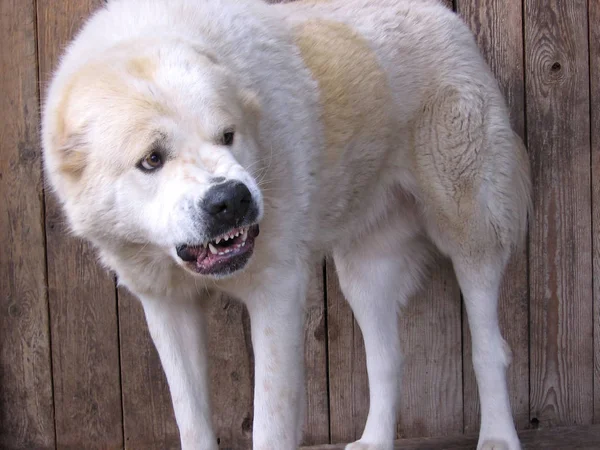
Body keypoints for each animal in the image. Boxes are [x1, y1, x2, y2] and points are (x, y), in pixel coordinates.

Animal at [41, 0, 528, 450]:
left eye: (227, 136)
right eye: (152, 159)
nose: (230, 200)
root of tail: (445, 14)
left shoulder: (276, 292)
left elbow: (270, 423)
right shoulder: (167, 307)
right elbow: (192, 422)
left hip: (470, 230)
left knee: (490, 349)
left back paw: (498, 436)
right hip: (365, 272)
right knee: (387, 359)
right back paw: (374, 441)